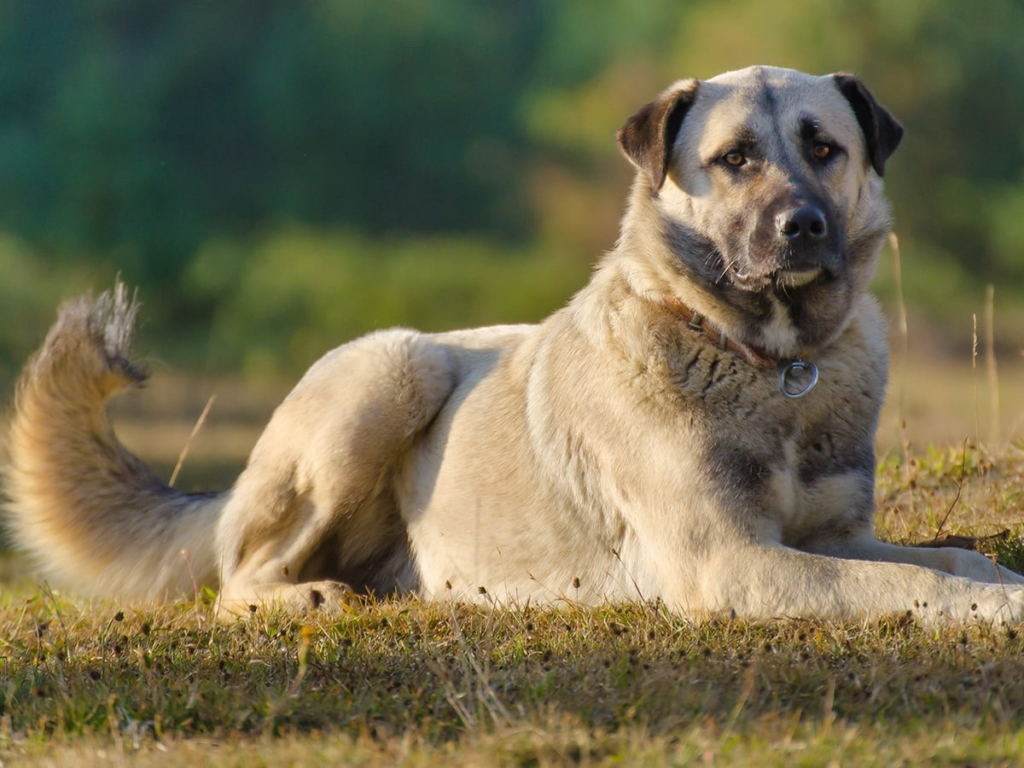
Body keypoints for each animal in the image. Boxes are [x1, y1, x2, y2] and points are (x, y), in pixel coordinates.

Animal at [8, 66, 1024, 626]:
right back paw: (304, 598)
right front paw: (996, 611)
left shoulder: (834, 537)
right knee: (234, 579)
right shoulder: (731, 561)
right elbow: (908, 589)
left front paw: (998, 580)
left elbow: (949, 561)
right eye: (735, 159)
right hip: (393, 369)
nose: (802, 227)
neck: (769, 362)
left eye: (824, 148)